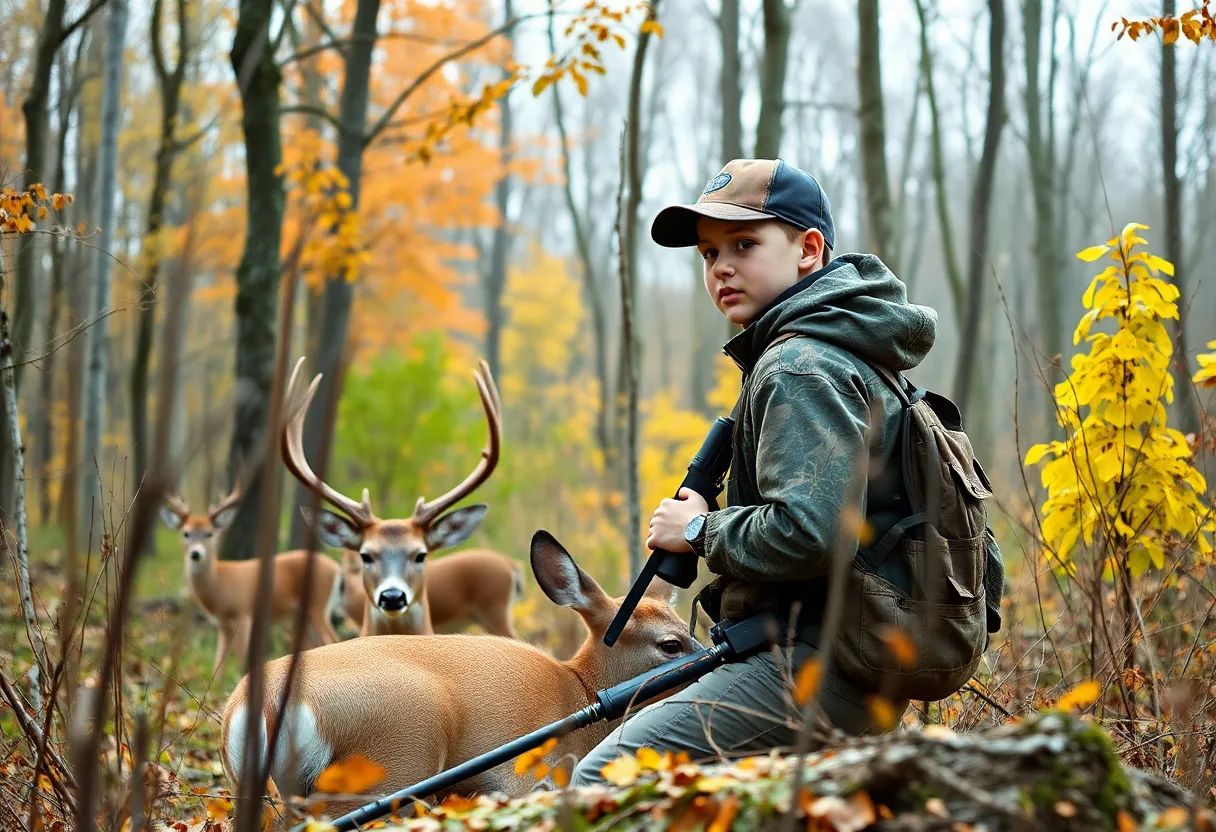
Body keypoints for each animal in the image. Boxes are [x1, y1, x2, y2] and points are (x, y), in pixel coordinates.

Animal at [159, 488, 344, 675]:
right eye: (186, 533)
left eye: (209, 533)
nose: (196, 554)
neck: (219, 582)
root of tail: (336, 567)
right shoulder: (222, 623)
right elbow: (218, 667)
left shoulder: (243, 613)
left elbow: (242, 659)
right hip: (298, 616)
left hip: (317, 605)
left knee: (331, 639)